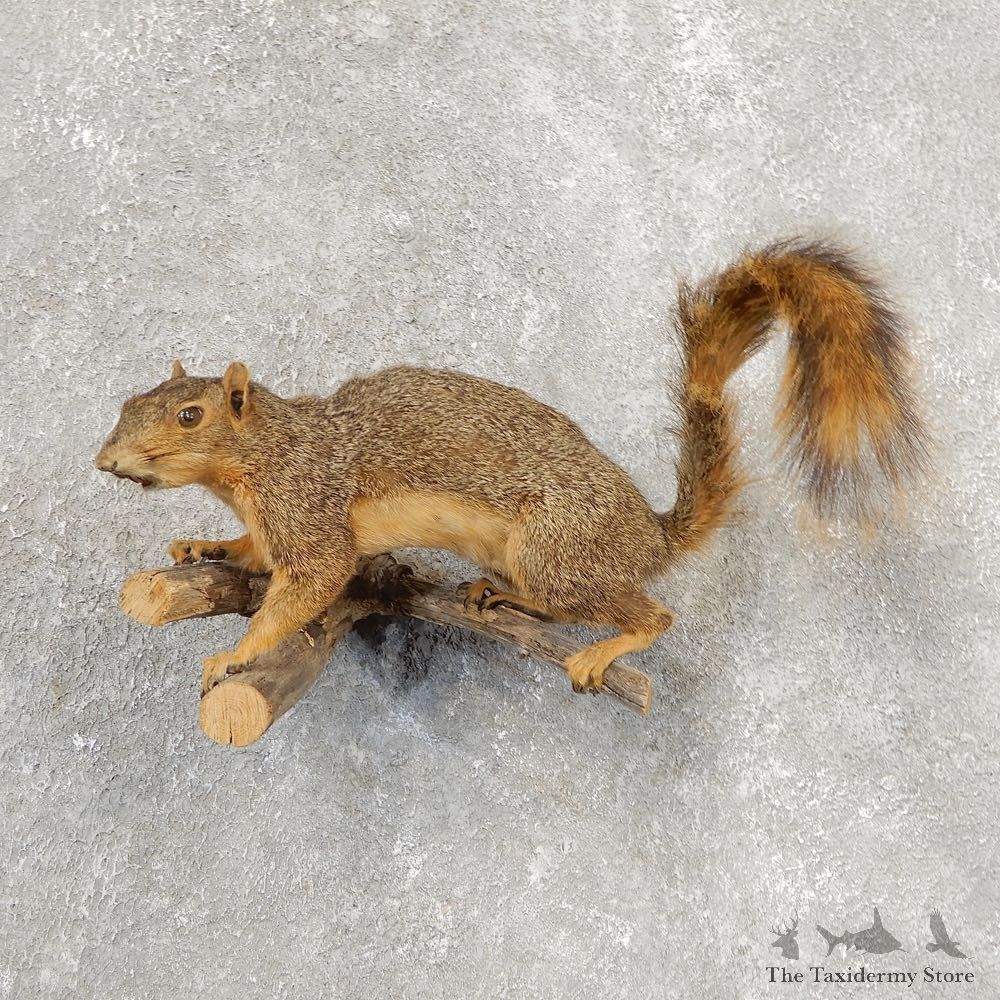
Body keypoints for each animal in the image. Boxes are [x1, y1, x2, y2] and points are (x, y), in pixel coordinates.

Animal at [96, 239, 928, 696]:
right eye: (131, 399)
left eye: (189, 416)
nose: (106, 461)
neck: (264, 455)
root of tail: (650, 535)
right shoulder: (277, 521)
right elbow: (254, 556)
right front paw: (203, 545)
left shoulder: (310, 506)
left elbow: (306, 586)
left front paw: (233, 654)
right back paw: (503, 598)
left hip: (556, 547)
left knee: (647, 614)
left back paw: (605, 648)